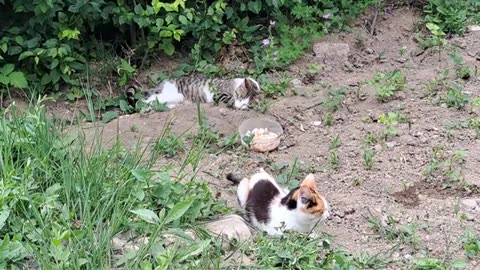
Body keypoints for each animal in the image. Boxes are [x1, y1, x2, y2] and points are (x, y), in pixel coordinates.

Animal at [125, 75, 260, 109]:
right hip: (171, 93)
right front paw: (238, 105)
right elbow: (229, 99)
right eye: (239, 96)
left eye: (247, 100)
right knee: (145, 101)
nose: (242, 103)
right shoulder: (220, 92)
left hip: (176, 98)